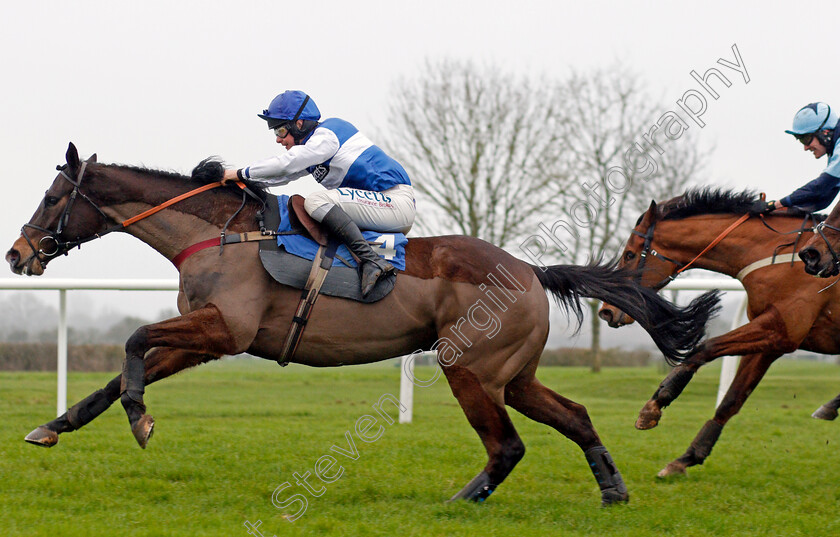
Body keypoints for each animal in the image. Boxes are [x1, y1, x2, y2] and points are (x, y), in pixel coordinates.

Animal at [4, 141, 720, 502]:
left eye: (52, 196)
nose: (17, 254)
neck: (220, 234)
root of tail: (528, 270)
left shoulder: (226, 330)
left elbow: (131, 343)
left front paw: (140, 420)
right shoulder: (206, 338)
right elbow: (119, 372)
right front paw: (53, 427)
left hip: (469, 368)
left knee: (508, 445)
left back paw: (461, 503)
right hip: (511, 375)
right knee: (573, 415)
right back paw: (612, 490)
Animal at [600, 187, 840, 478]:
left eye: (630, 255)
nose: (606, 311)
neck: (774, 257)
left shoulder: (782, 328)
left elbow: (706, 347)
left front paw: (656, 402)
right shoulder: (771, 341)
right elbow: (732, 399)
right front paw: (687, 457)